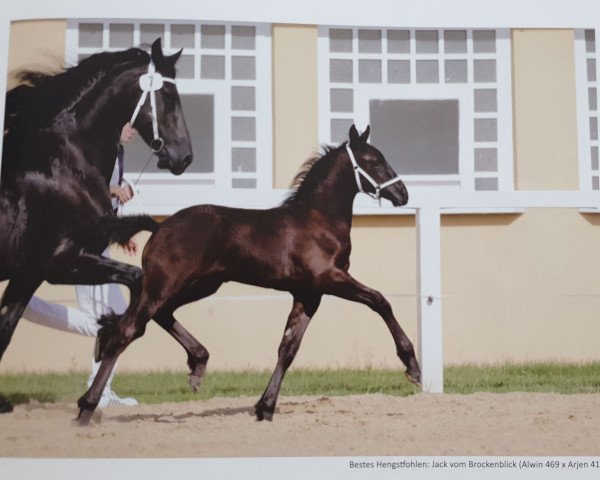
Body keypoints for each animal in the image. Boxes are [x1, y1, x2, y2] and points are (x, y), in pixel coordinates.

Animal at [0, 38, 192, 412]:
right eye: (168, 95)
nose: (185, 157)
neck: (59, 165)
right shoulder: (59, 263)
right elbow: (138, 279)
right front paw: (109, 331)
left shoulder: (31, 272)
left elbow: (7, 327)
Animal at [79, 126, 422, 424]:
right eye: (373, 161)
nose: (403, 194)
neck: (317, 220)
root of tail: (160, 226)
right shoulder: (329, 279)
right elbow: (380, 301)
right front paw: (412, 366)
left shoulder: (309, 294)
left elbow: (288, 349)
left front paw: (265, 407)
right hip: (165, 285)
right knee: (127, 330)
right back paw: (86, 407)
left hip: (199, 285)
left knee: (158, 316)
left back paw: (197, 365)